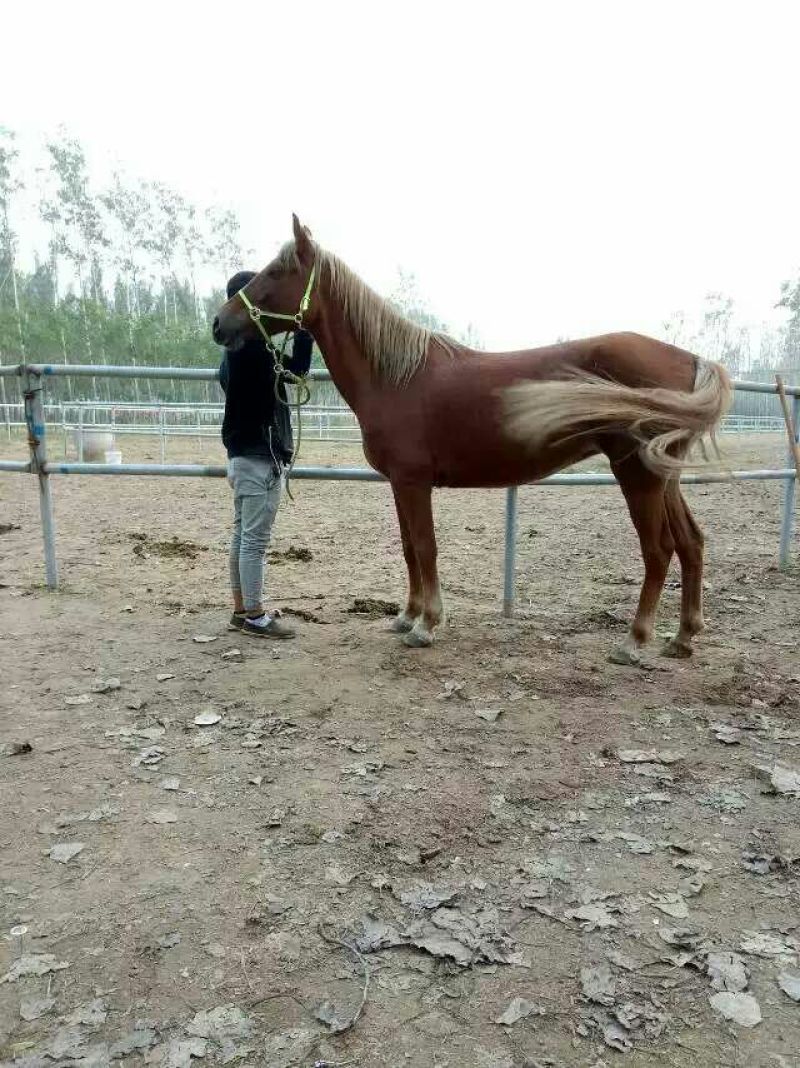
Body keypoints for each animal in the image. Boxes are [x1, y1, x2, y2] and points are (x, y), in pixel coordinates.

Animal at [212, 216, 731, 663]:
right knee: (691, 541)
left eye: (277, 271)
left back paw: (634, 641)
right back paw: (683, 638)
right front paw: (407, 617)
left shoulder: (413, 482)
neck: (396, 377)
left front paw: (427, 626)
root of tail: (690, 359)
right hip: (662, 474)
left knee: (658, 550)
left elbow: (425, 547)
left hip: (637, 474)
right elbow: (409, 547)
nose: (220, 324)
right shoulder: (399, 484)